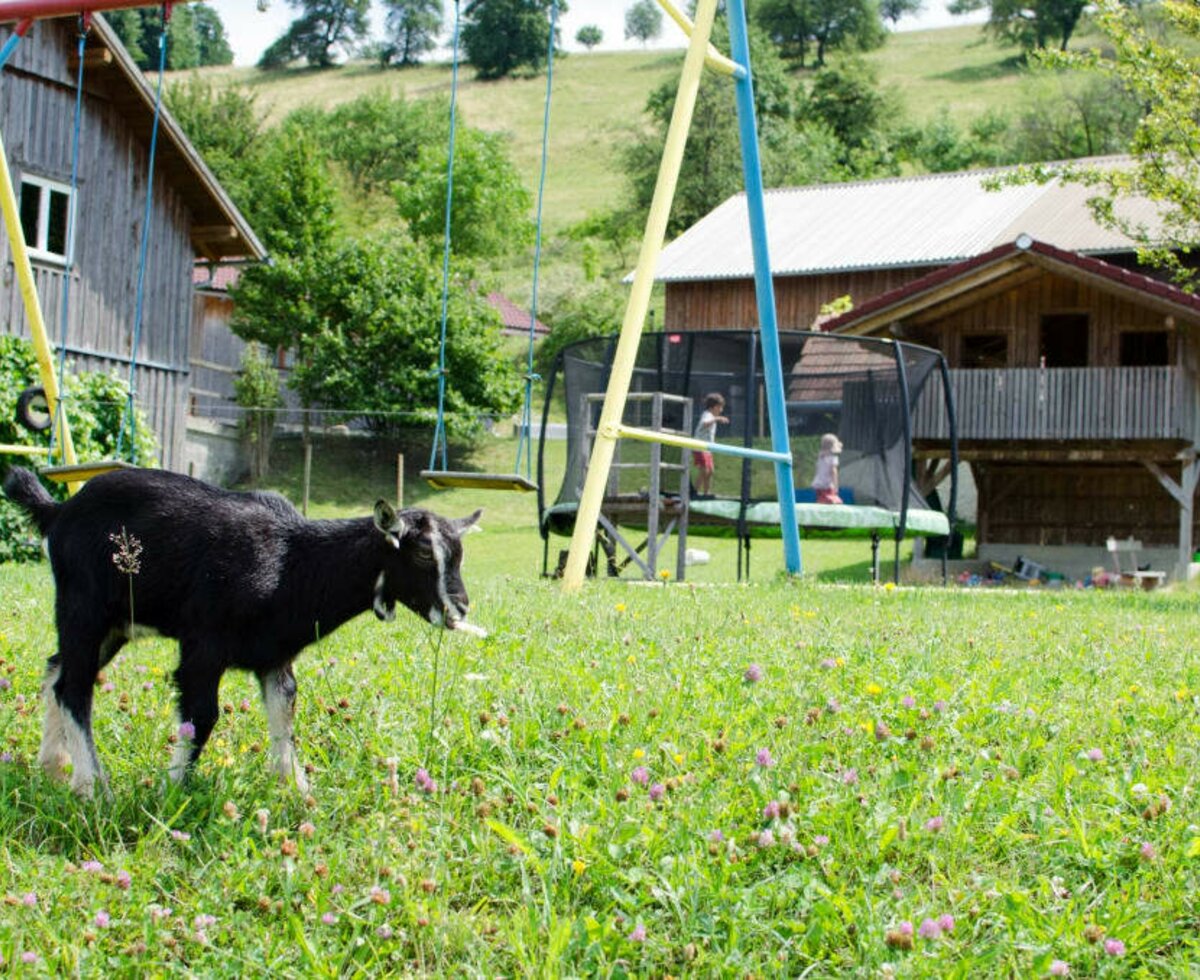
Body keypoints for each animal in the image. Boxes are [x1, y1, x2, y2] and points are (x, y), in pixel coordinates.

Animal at [5, 465, 482, 796]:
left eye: (459, 555)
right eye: (423, 554)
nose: (459, 607)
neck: (294, 563)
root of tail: (58, 512)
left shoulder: (275, 656)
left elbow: (284, 713)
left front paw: (298, 792)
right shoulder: (203, 646)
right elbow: (202, 717)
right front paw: (170, 791)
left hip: (113, 625)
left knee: (56, 671)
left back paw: (53, 768)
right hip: (84, 606)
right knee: (74, 686)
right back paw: (93, 787)